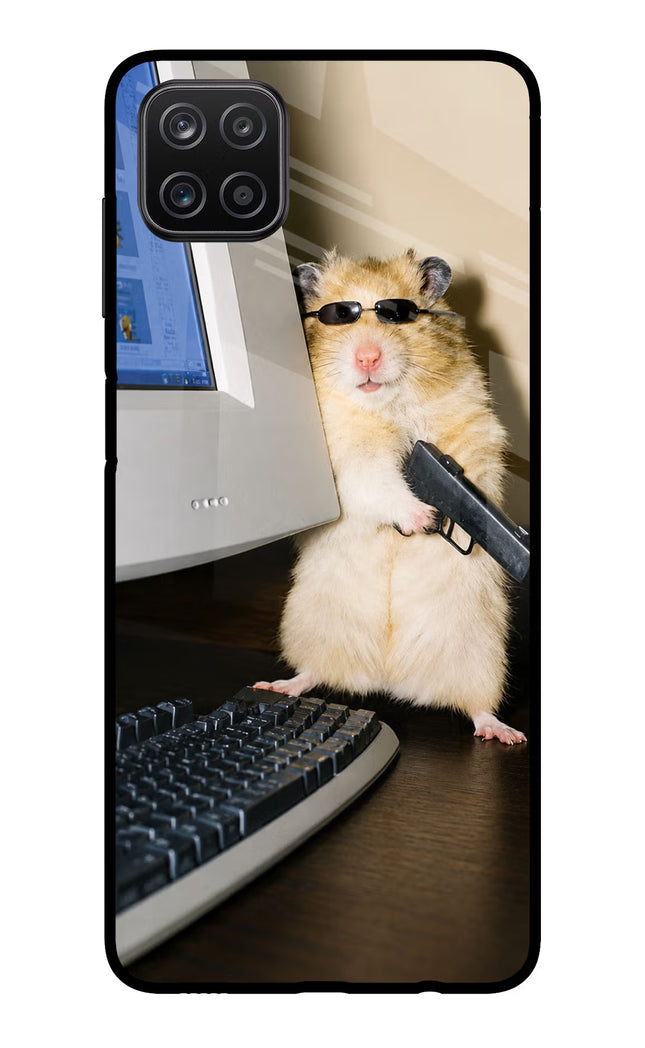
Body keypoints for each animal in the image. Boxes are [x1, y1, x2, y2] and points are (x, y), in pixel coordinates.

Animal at [255, 249, 526, 744]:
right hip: (311, 626)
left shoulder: (471, 429)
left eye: (396, 314)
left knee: (477, 706)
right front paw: (423, 518)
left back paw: (504, 733)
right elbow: (378, 482)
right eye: (339, 316)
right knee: (314, 672)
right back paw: (279, 685)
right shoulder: (347, 459)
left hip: (480, 654)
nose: (367, 357)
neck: (386, 405)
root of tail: (388, 678)